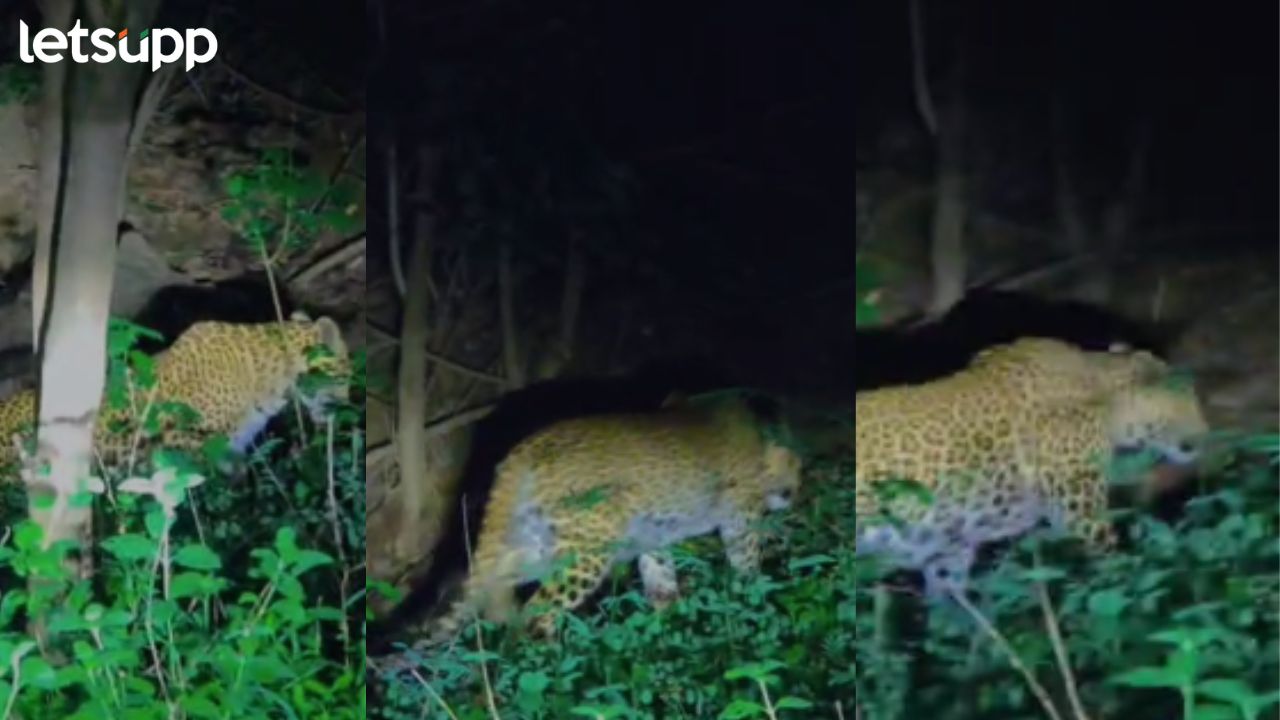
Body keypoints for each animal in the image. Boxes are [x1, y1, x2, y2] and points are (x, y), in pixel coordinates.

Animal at [407, 390, 803, 649]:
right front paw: (755, 604)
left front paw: (668, 629)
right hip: (586, 552)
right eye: (798, 464)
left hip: (538, 544)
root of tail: (519, 455)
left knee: (496, 583)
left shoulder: (651, 538)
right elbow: (747, 564)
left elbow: (661, 581)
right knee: (539, 610)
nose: (795, 491)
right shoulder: (742, 518)